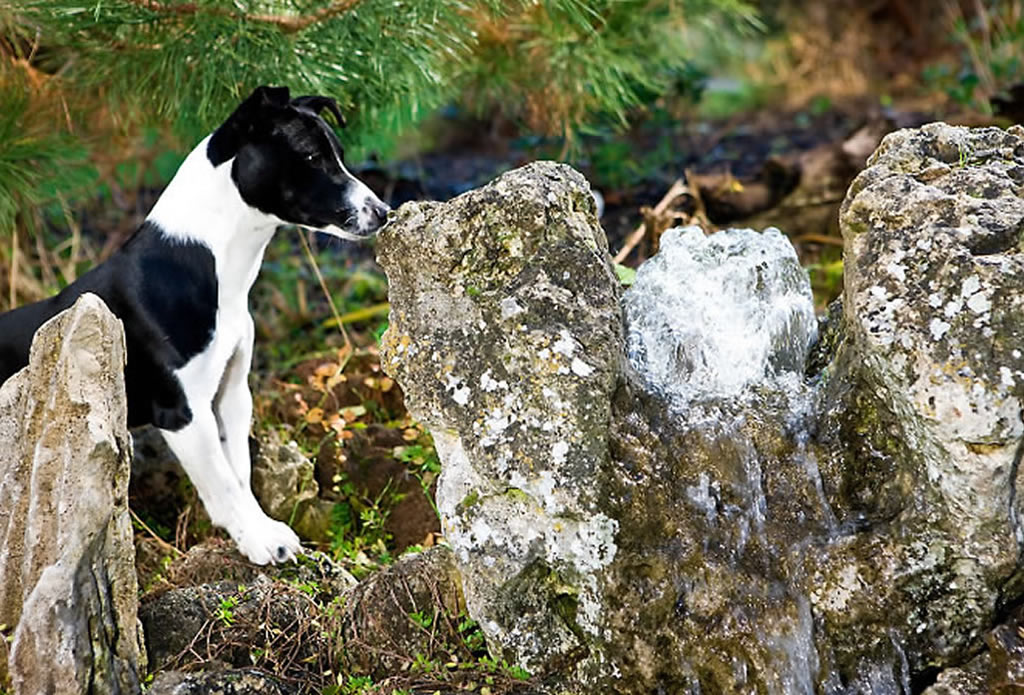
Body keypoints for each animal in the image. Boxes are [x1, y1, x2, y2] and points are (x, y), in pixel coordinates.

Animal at [0, 87, 387, 565]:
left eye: (339, 156)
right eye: (312, 157)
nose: (384, 212)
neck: (210, 263)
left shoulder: (232, 392)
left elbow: (239, 473)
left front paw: (259, 529)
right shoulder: (182, 411)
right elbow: (223, 483)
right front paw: (258, 540)